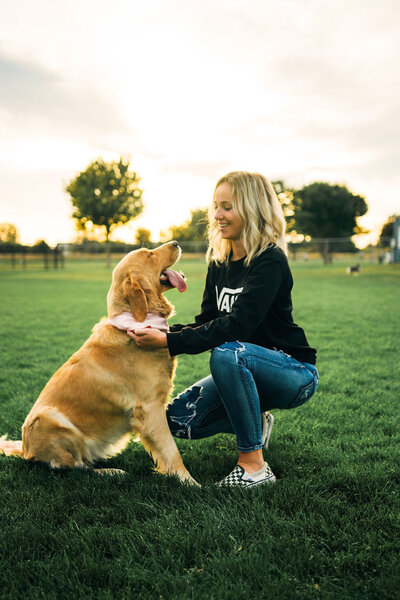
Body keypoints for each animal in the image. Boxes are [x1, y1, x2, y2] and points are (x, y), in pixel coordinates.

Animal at [0, 241, 197, 486]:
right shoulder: (150, 408)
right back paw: (111, 472)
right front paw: (190, 482)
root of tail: (25, 450)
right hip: (50, 419)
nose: (176, 243)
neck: (134, 322)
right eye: (149, 255)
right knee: (75, 467)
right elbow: (171, 450)